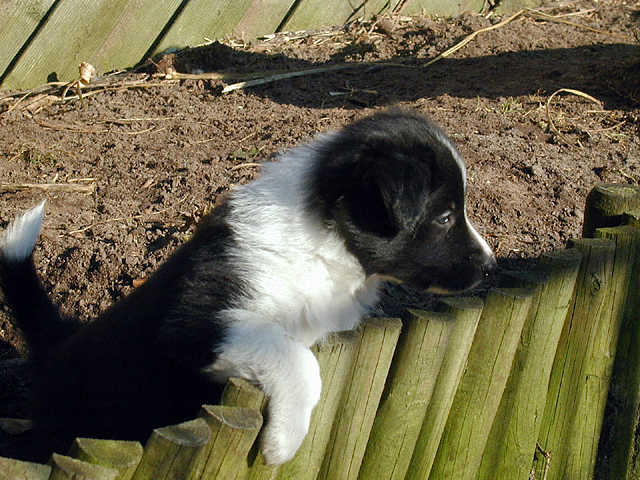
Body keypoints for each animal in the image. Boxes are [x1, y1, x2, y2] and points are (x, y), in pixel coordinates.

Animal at [0, 109, 495, 463]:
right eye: (445, 217)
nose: (491, 267)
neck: (324, 244)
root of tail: (58, 344)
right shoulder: (199, 325)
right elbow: (296, 359)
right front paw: (283, 444)